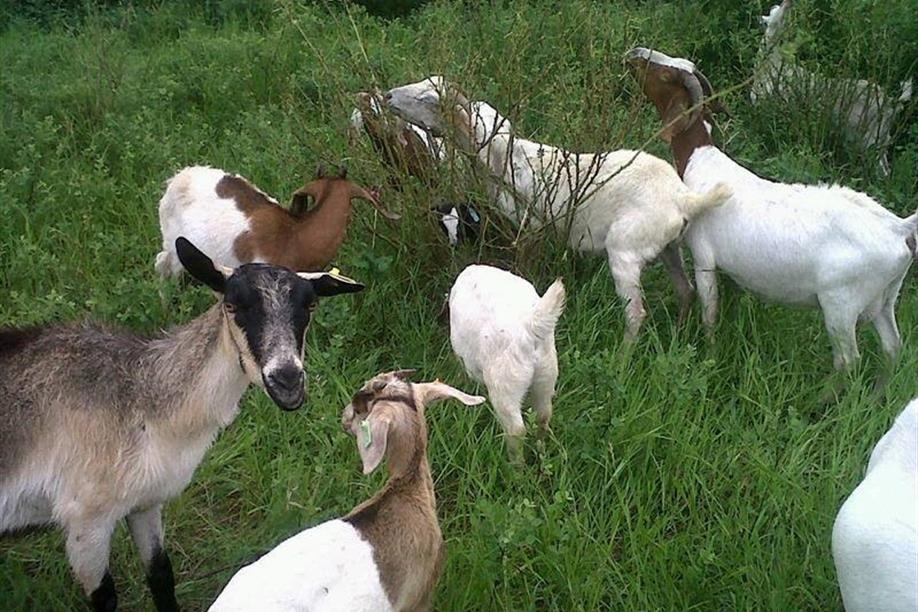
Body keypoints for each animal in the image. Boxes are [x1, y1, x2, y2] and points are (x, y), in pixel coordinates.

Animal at [0, 237, 364, 611]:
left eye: (310, 305)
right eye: (232, 304)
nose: (288, 379)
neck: (147, 403)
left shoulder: (146, 501)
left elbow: (161, 574)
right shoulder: (85, 520)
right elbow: (105, 597)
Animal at [386, 76, 733, 342]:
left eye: (429, 99)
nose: (388, 95)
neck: (503, 159)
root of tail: (683, 197)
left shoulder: (531, 227)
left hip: (625, 250)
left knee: (636, 313)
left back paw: (623, 359)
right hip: (667, 246)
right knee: (685, 290)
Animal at [448, 265, 564, 462]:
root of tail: (530, 327)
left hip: (504, 383)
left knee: (516, 429)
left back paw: (515, 466)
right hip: (546, 375)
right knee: (543, 416)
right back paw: (541, 456)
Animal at [626, 47, 917, 384]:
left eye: (665, 76)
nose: (634, 53)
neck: (702, 162)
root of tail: (900, 229)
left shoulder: (704, 258)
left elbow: (710, 313)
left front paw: (708, 357)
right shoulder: (732, 271)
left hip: (841, 305)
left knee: (848, 361)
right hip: (886, 298)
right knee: (893, 348)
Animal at [750, 0, 913, 176]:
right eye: (776, 13)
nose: (788, 3)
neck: (772, 65)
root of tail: (891, 103)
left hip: (870, 138)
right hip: (881, 138)